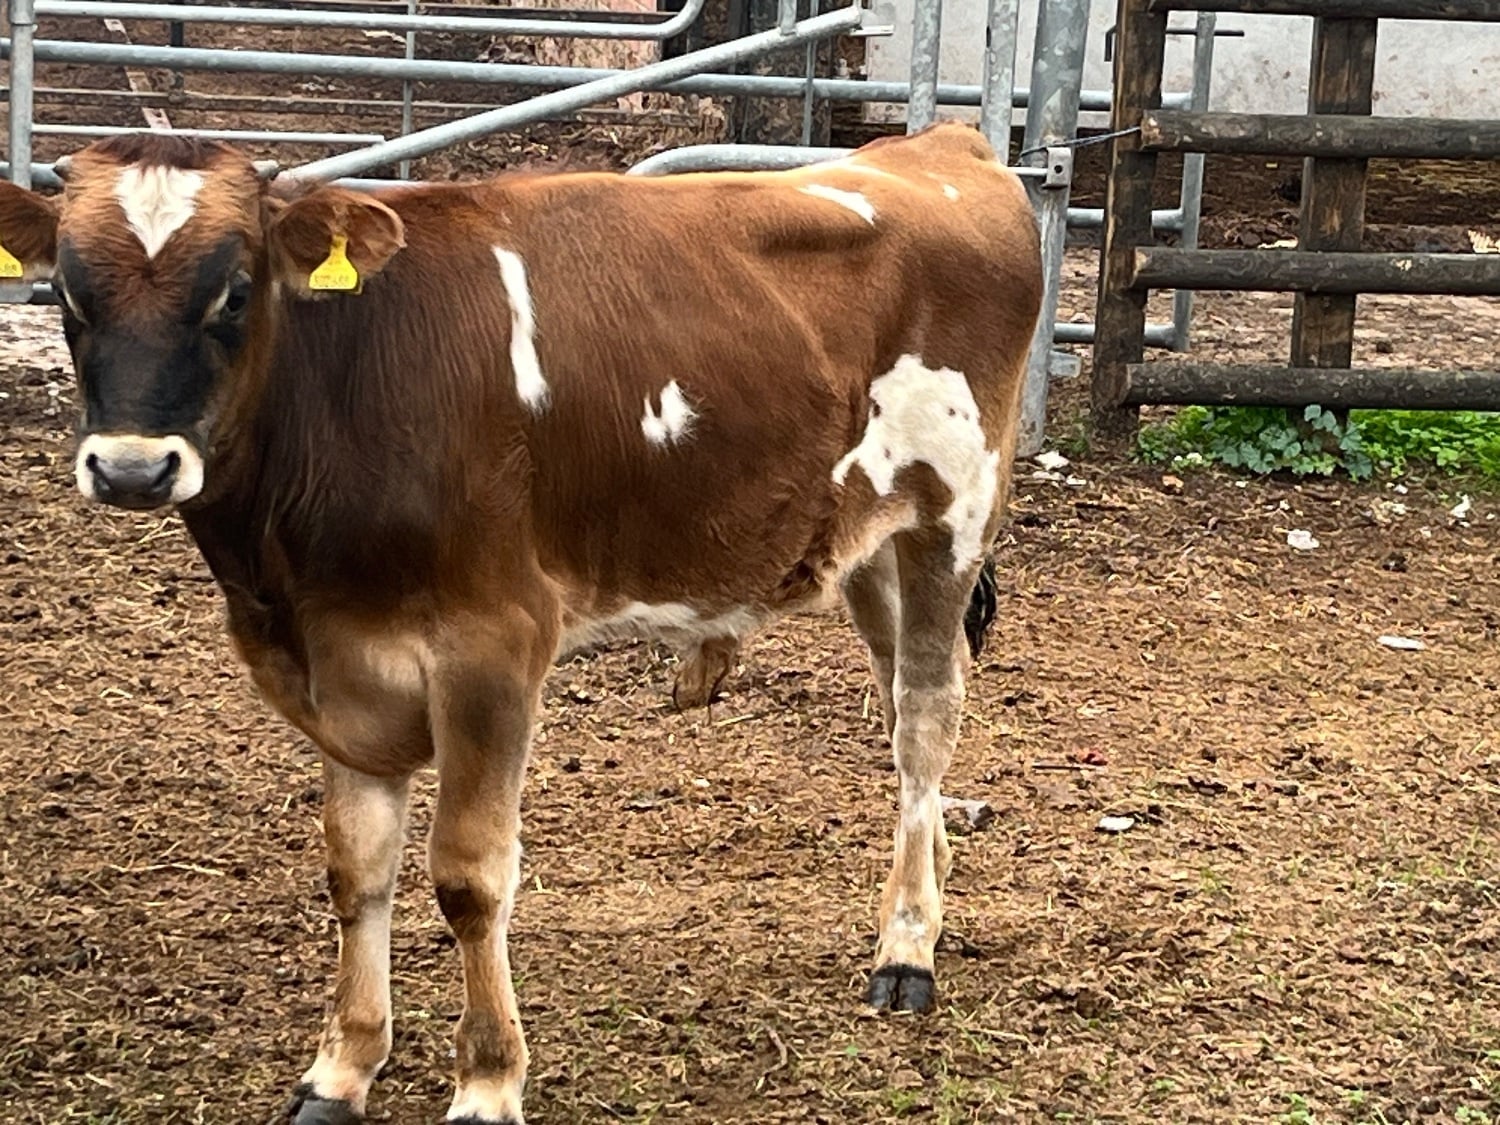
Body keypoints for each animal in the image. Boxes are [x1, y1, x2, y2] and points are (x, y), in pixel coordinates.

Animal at [0, 122, 1042, 1124]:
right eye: (70, 296)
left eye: (235, 292)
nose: (132, 469)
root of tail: (940, 146)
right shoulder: (338, 665)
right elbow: (355, 868)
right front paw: (343, 1066)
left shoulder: (492, 644)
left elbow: (470, 876)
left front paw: (488, 1081)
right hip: (869, 542)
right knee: (902, 708)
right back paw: (929, 883)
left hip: (954, 512)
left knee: (925, 719)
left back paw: (906, 948)